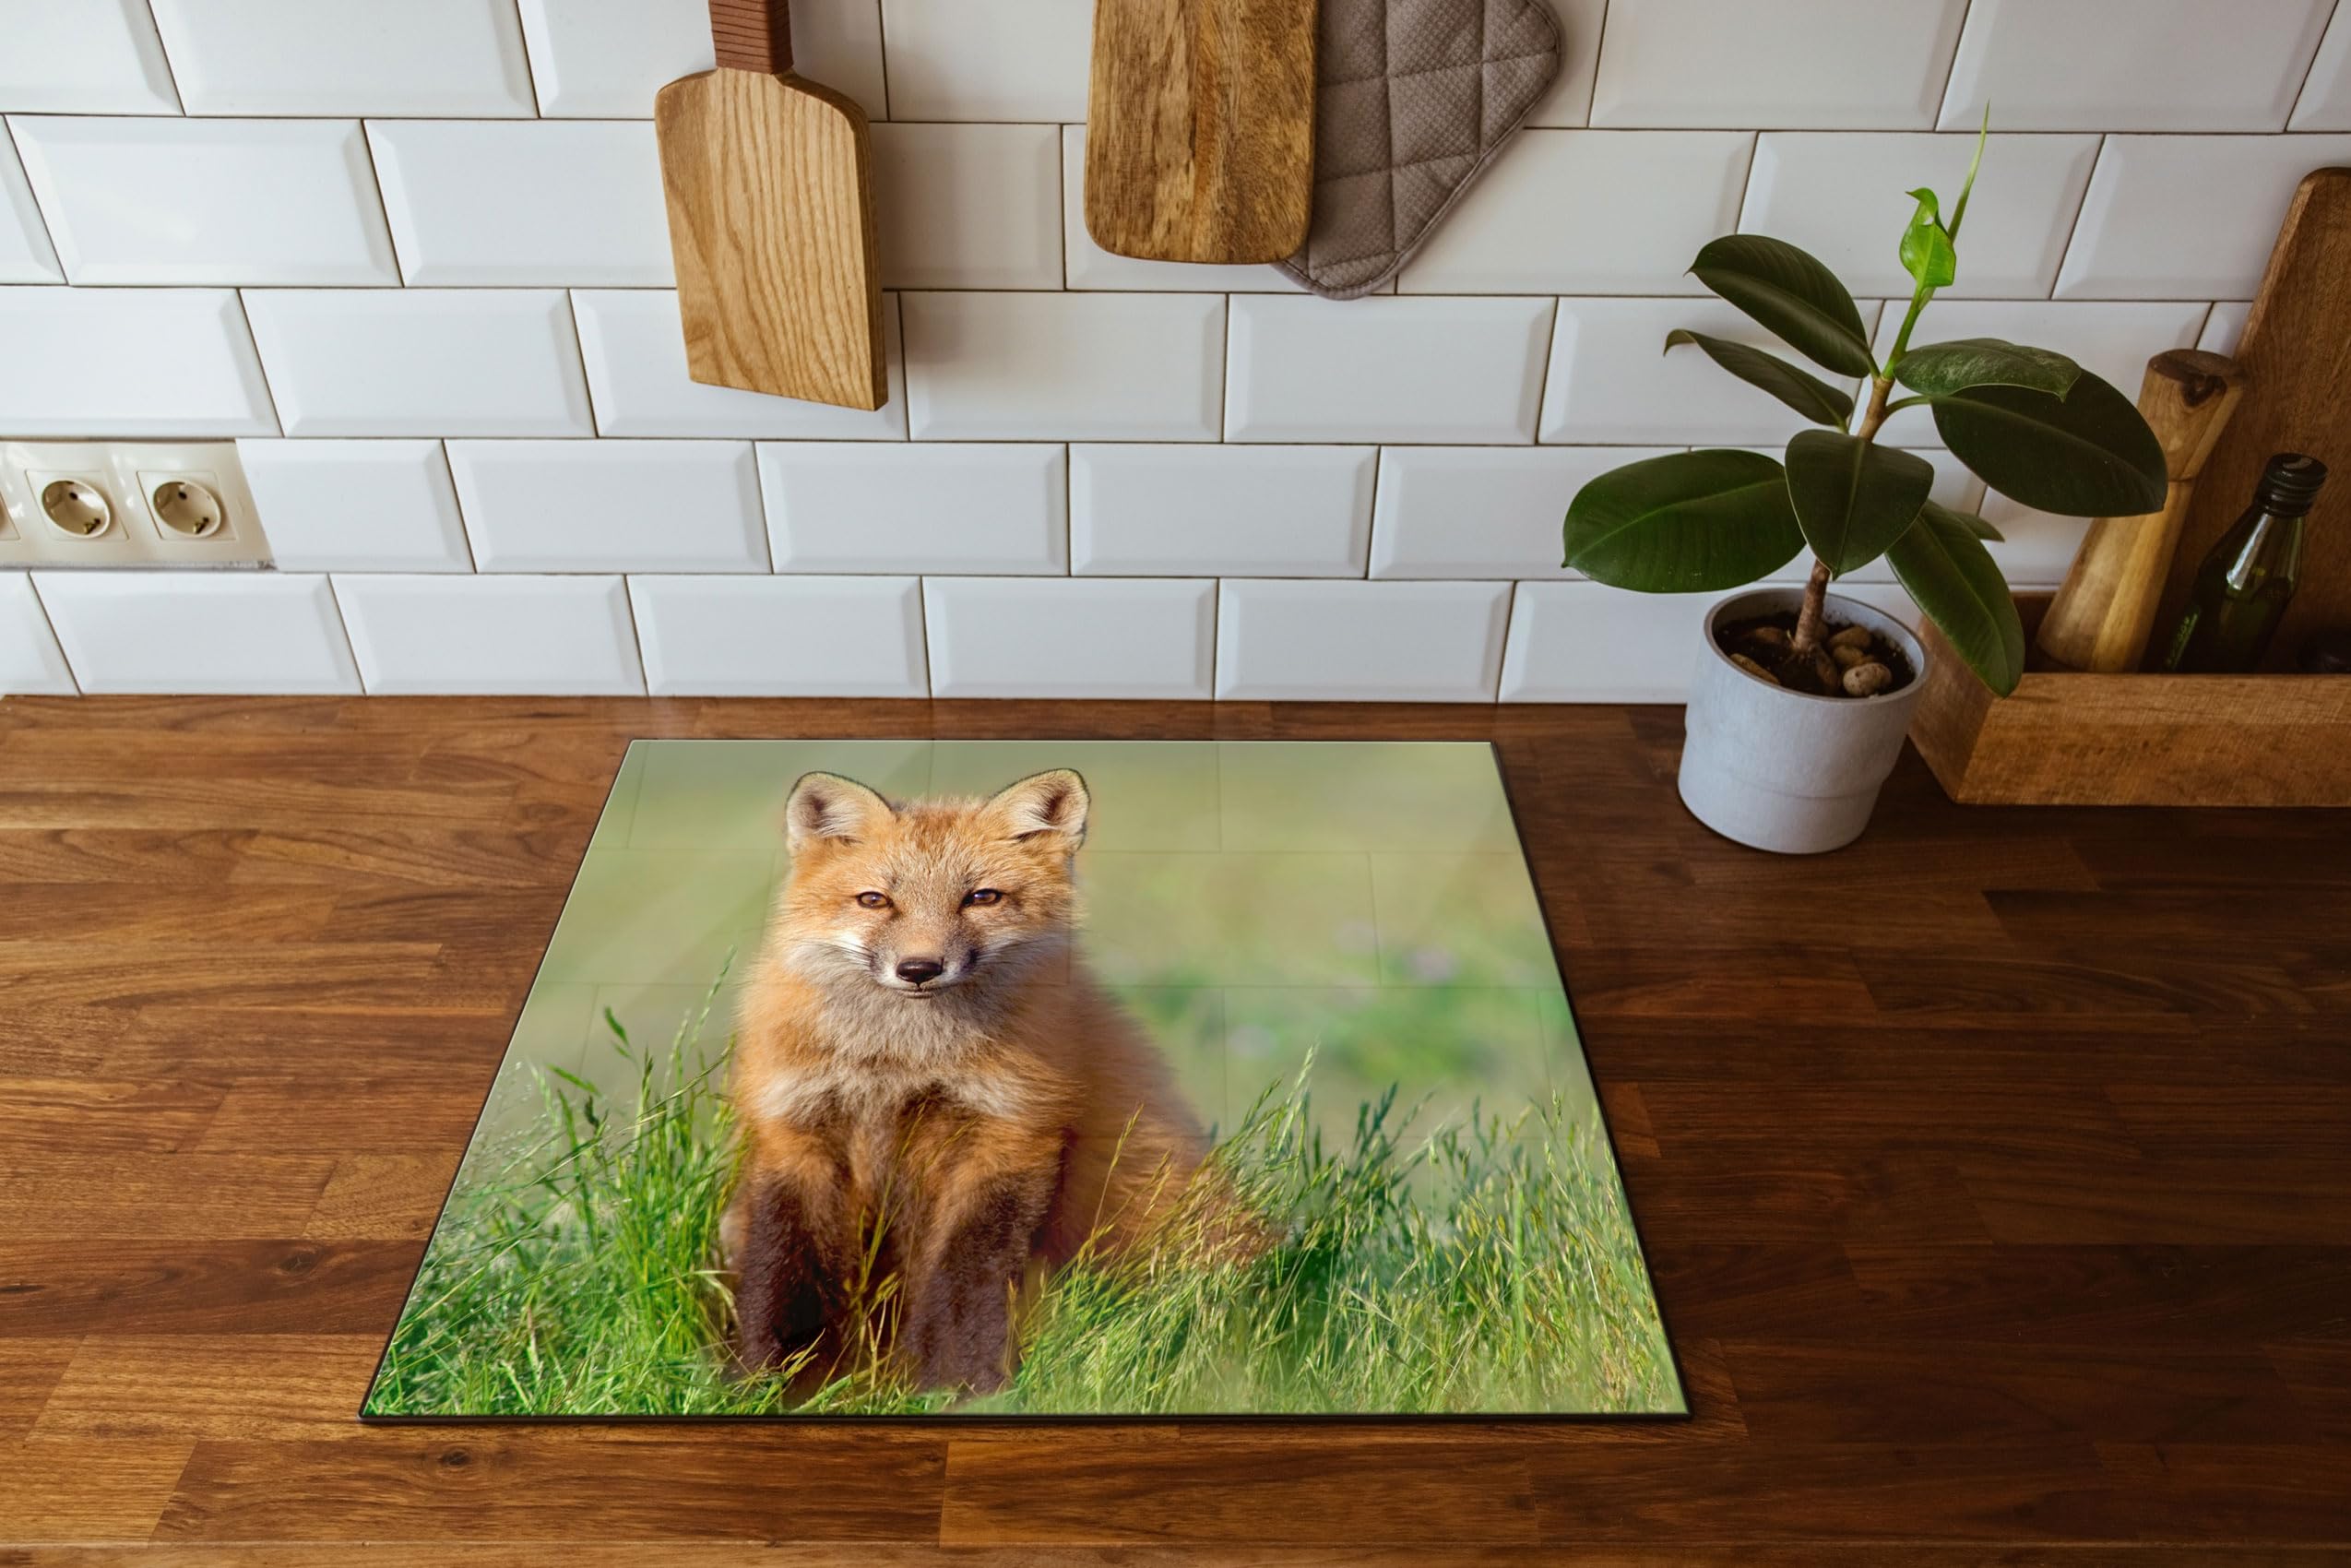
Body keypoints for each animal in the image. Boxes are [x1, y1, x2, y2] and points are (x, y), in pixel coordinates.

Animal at [724, 766, 1215, 1395]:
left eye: (981, 898)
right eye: (875, 900)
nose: (919, 969)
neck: (900, 1063)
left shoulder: (1008, 1136)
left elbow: (966, 1277)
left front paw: (962, 1385)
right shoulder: (795, 1132)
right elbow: (781, 1270)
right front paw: (768, 1381)